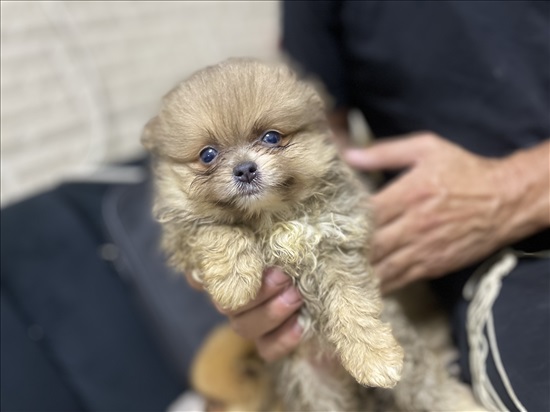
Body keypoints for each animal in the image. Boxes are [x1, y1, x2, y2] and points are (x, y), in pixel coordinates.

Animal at [144, 58, 486, 412]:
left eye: (271, 137)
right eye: (208, 155)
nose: (244, 169)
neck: (272, 216)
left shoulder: (335, 242)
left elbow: (352, 305)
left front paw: (375, 359)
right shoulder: (182, 232)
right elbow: (217, 229)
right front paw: (234, 283)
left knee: (429, 388)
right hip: (313, 387)